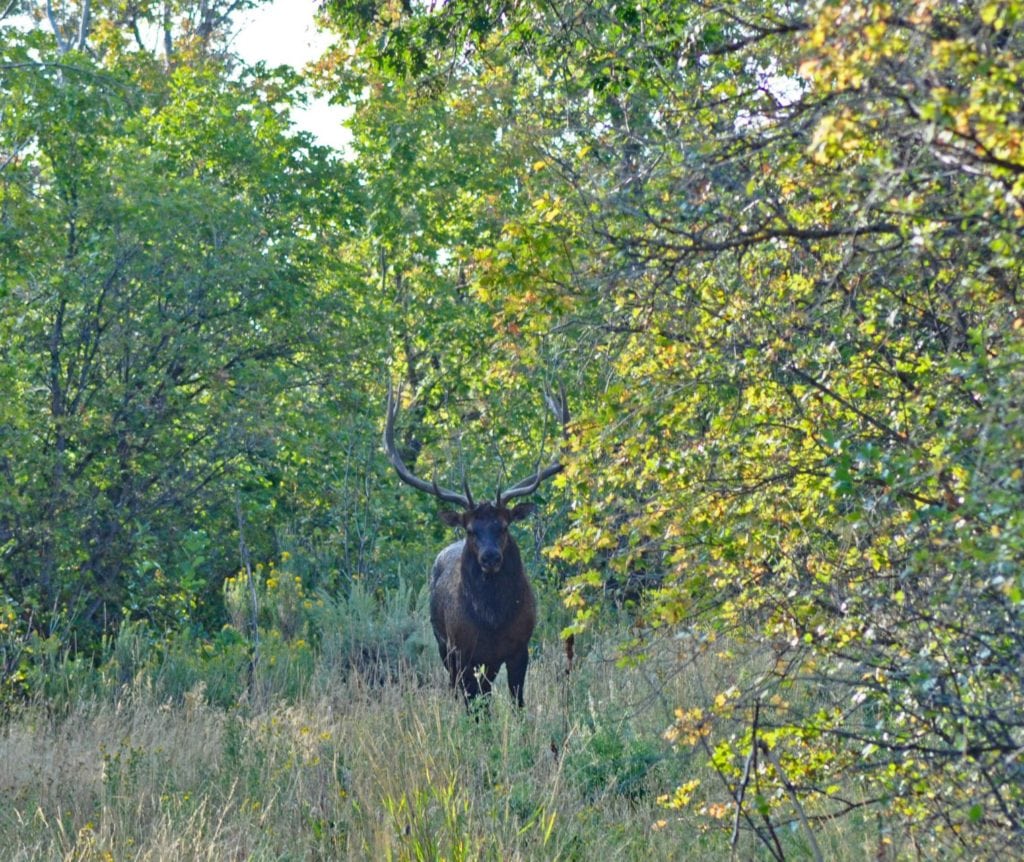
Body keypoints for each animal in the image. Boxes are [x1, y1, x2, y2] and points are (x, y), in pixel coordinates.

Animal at [385, 384, 569, 704]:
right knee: (463, 692)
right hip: (445, 647)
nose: (490, 557)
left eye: (504, 526)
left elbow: (517, 700)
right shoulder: (463, 651)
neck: (493, 624)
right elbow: (473, 703)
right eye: (471, 530)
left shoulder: (520, 648)